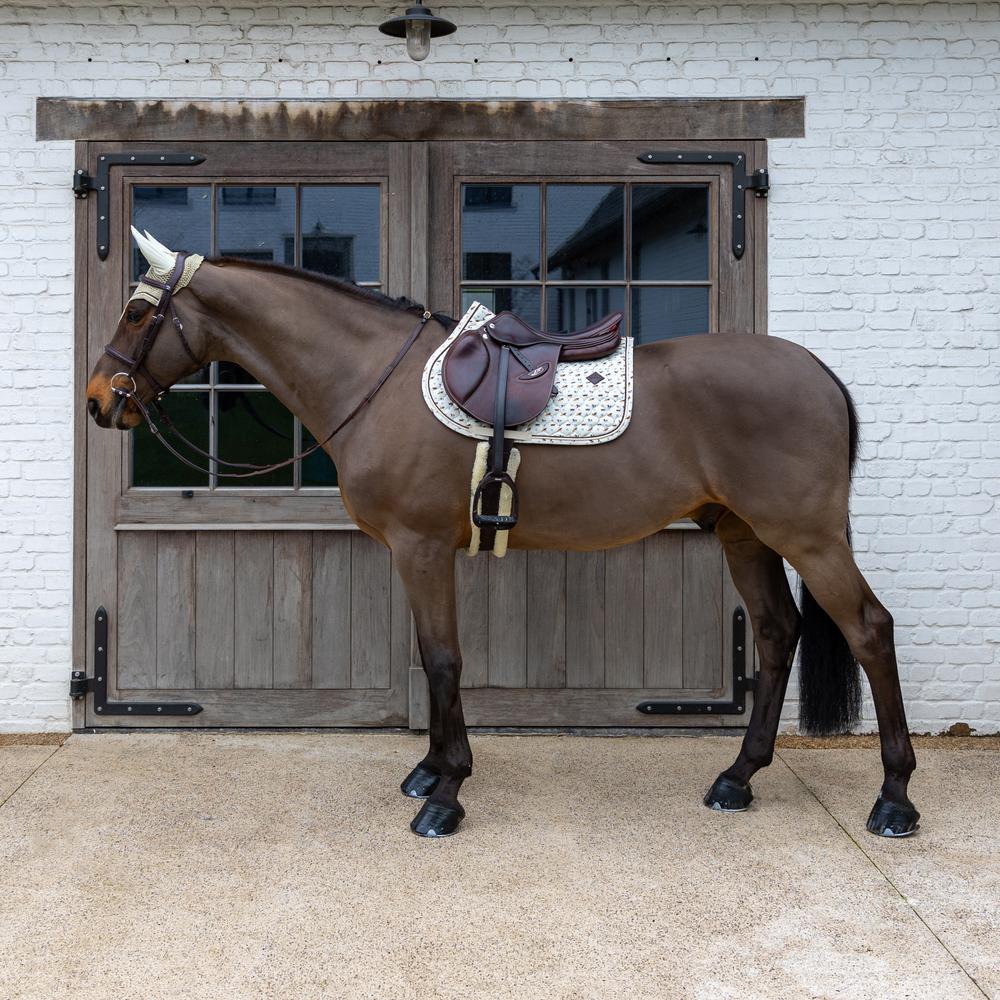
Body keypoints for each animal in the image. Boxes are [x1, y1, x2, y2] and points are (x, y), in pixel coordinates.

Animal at [85, 231, 919, 840]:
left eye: (137, 313)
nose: (99, 400)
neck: (377, 381)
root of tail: (817, 372)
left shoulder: (422, 548)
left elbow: (444, 661)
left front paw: (446, 793)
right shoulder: (415, 555)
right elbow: (432, 659)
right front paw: (428, 770)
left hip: (806, 535)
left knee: (869, 629)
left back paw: (894, 799)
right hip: (744, 534)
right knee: (778, 633)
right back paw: (737, 778)